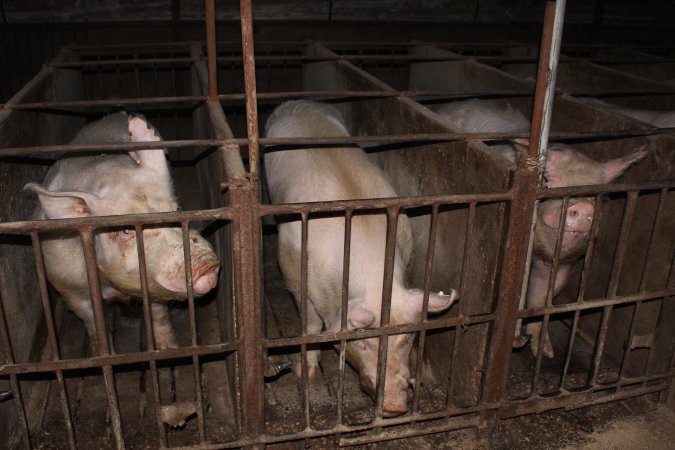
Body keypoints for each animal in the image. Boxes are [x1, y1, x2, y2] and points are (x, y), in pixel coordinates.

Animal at [26, 111, 220, 352]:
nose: (207, 264)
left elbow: (159, 315)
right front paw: (102, 354)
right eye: (126, 230)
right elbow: (93, 324)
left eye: (176, 209)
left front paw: (171, 349)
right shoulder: (68, 286)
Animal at [264, 100, 460, 416]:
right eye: (363, 343)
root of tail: (299, 103)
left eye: (405, 337)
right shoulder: (293, 271)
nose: (394, 406)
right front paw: (306, 374)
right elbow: (311, 325)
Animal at [436, 99, 648, 358]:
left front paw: (545, 352)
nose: (584, 206)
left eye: (595, 195)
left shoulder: (561, 265)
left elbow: (541, 300)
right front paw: (517, 342)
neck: (541, 249)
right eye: (548, 183)